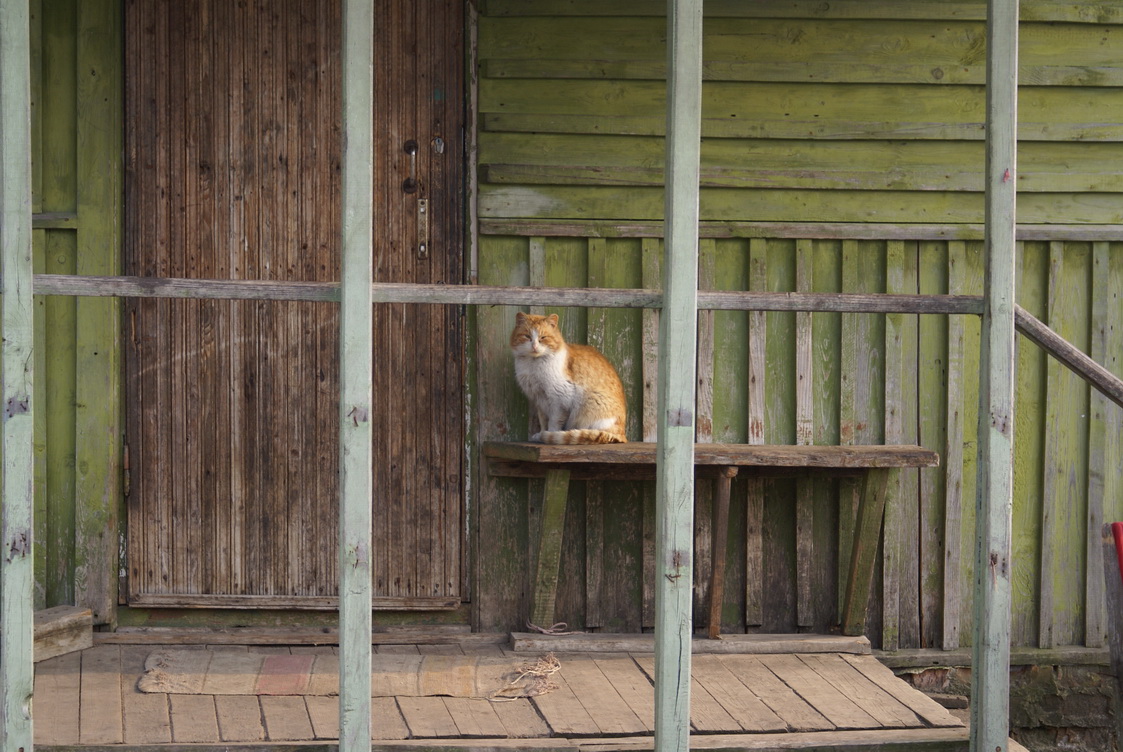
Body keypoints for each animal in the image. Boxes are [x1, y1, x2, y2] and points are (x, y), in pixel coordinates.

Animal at [512, 309, 628, 444]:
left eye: (543, 338)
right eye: (527, 336)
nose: (534, 346)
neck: (533, 364)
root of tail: (622, 434)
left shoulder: (560, 399)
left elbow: (554, 422)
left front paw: (548, 435)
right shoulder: (539, 400)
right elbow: (543, 421)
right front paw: (541, 434)